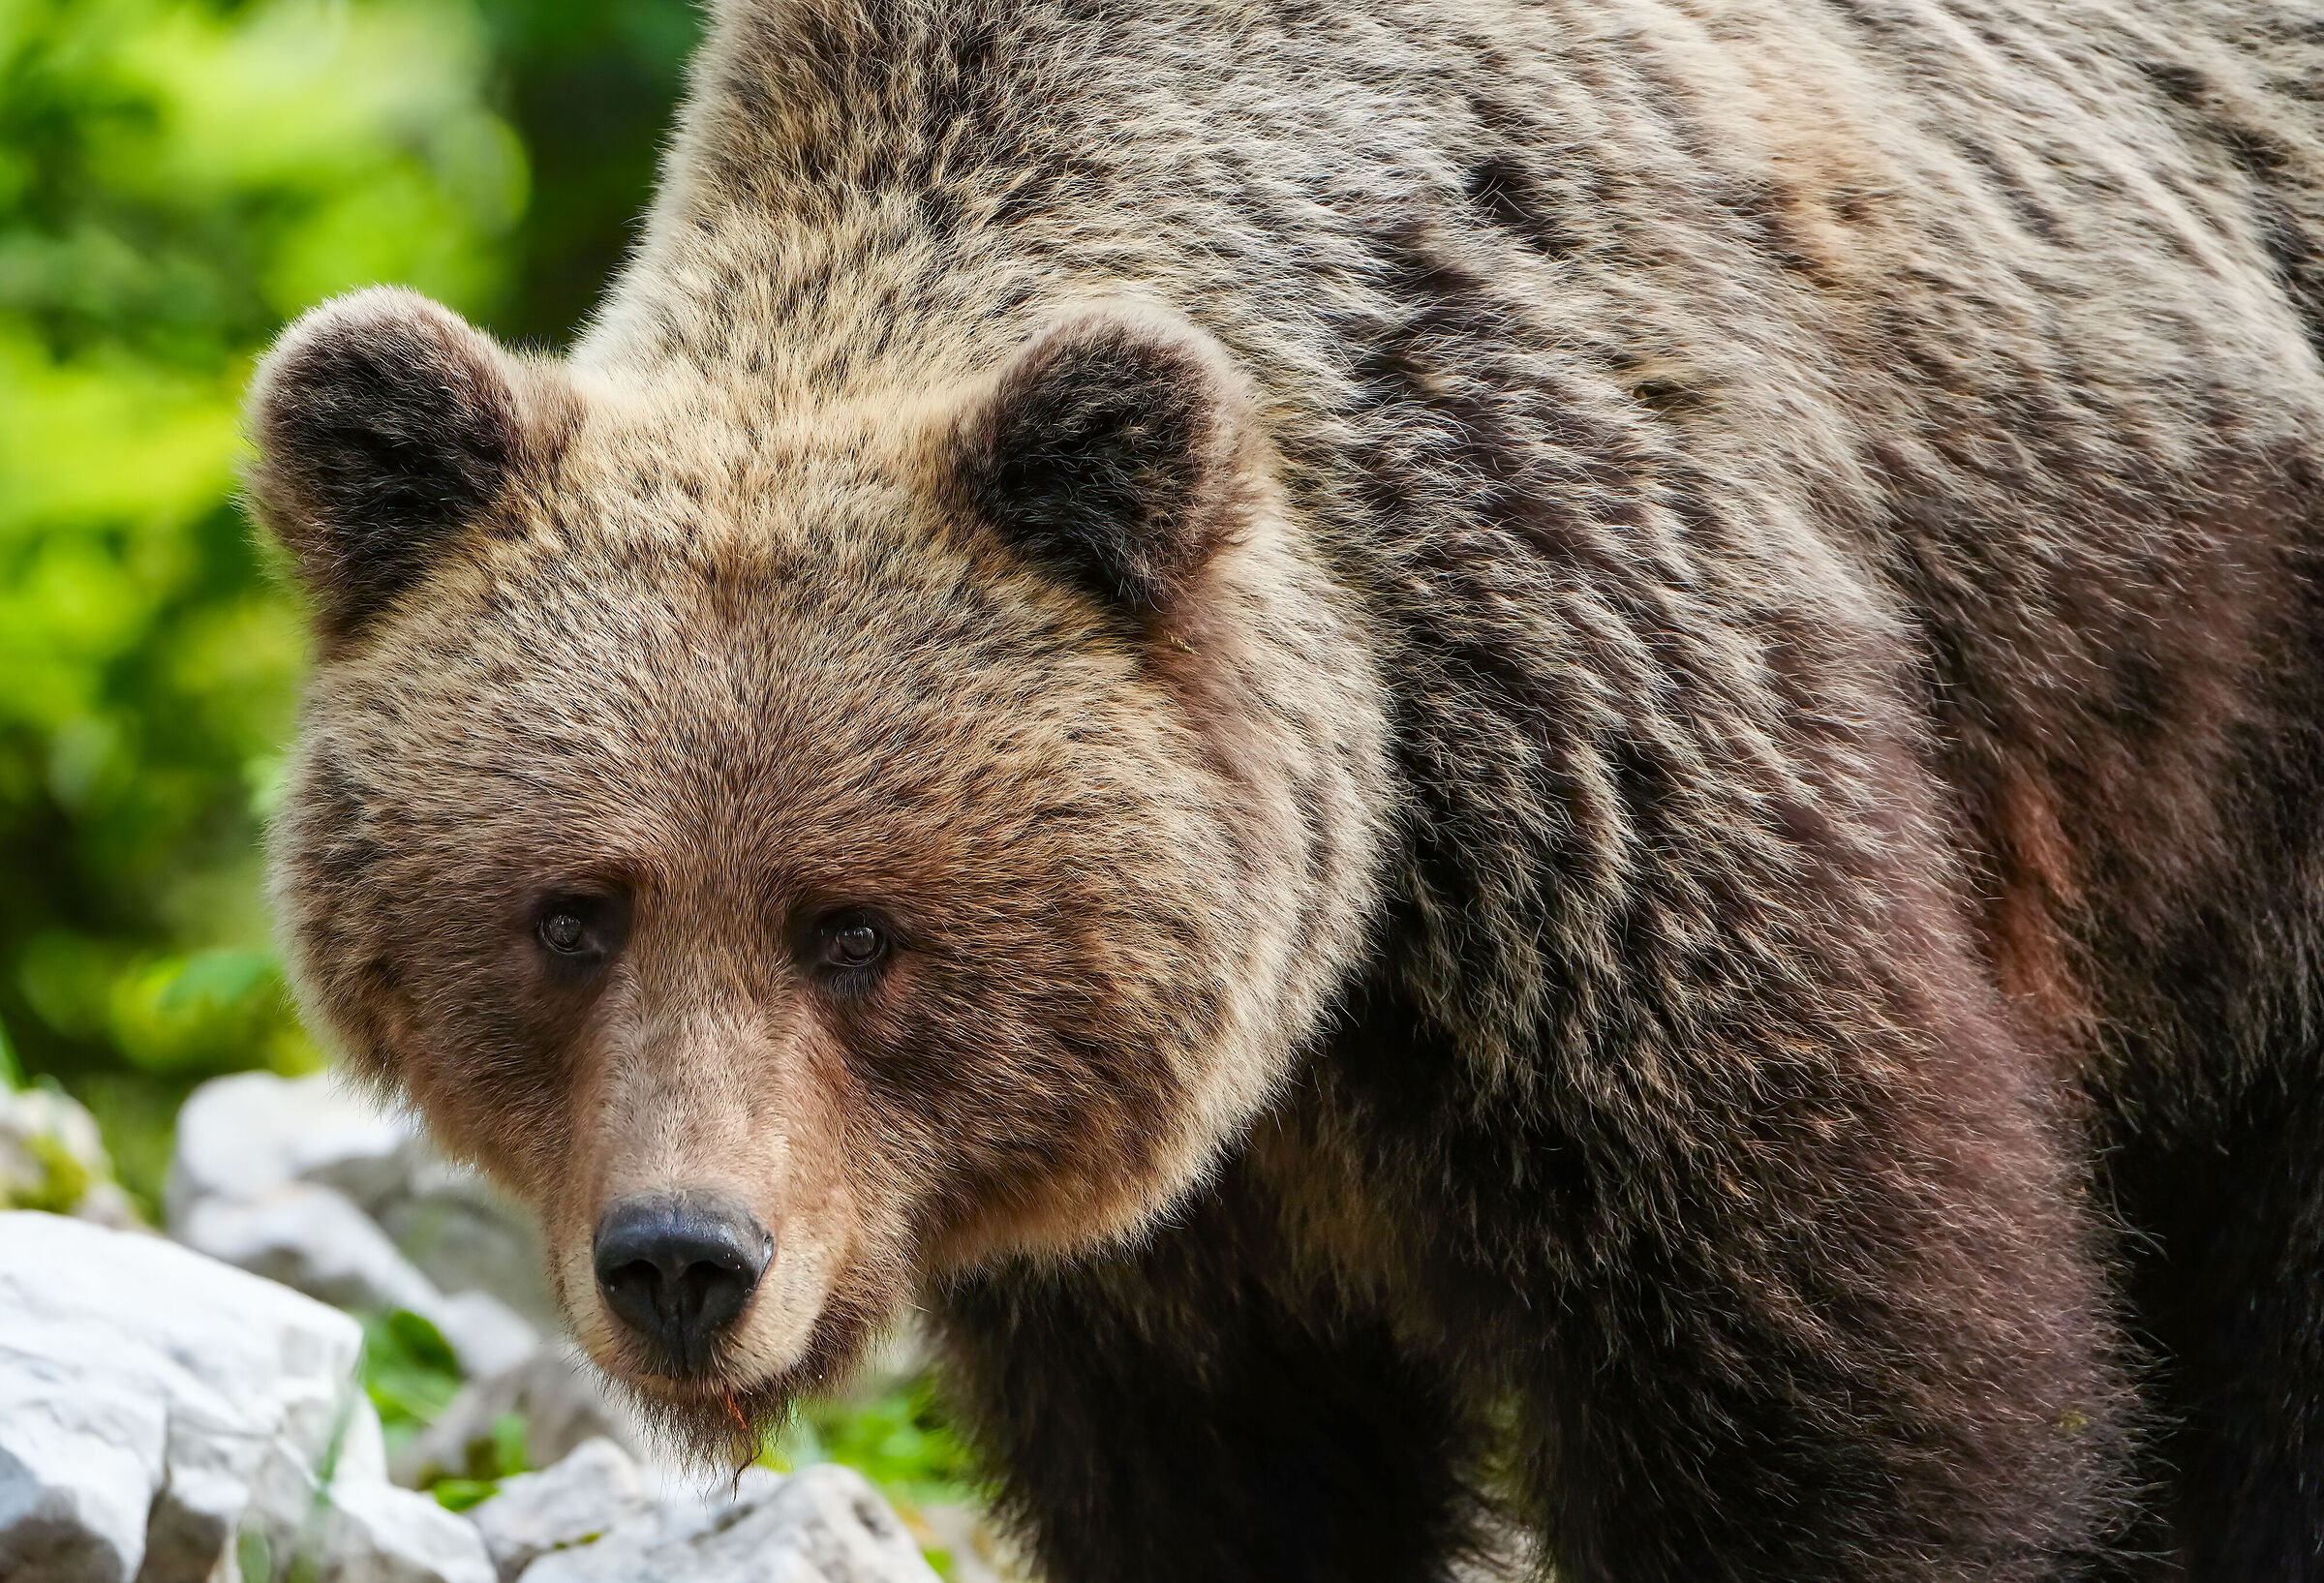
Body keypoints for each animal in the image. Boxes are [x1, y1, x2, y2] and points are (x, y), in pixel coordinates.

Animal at [243, 0, 2324, 1577]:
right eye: (572, 914)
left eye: (854, 929)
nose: (686, 1258)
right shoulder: (1155, 1244)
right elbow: (1225, 1478)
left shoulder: (1617, 790)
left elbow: (1831, 1376)